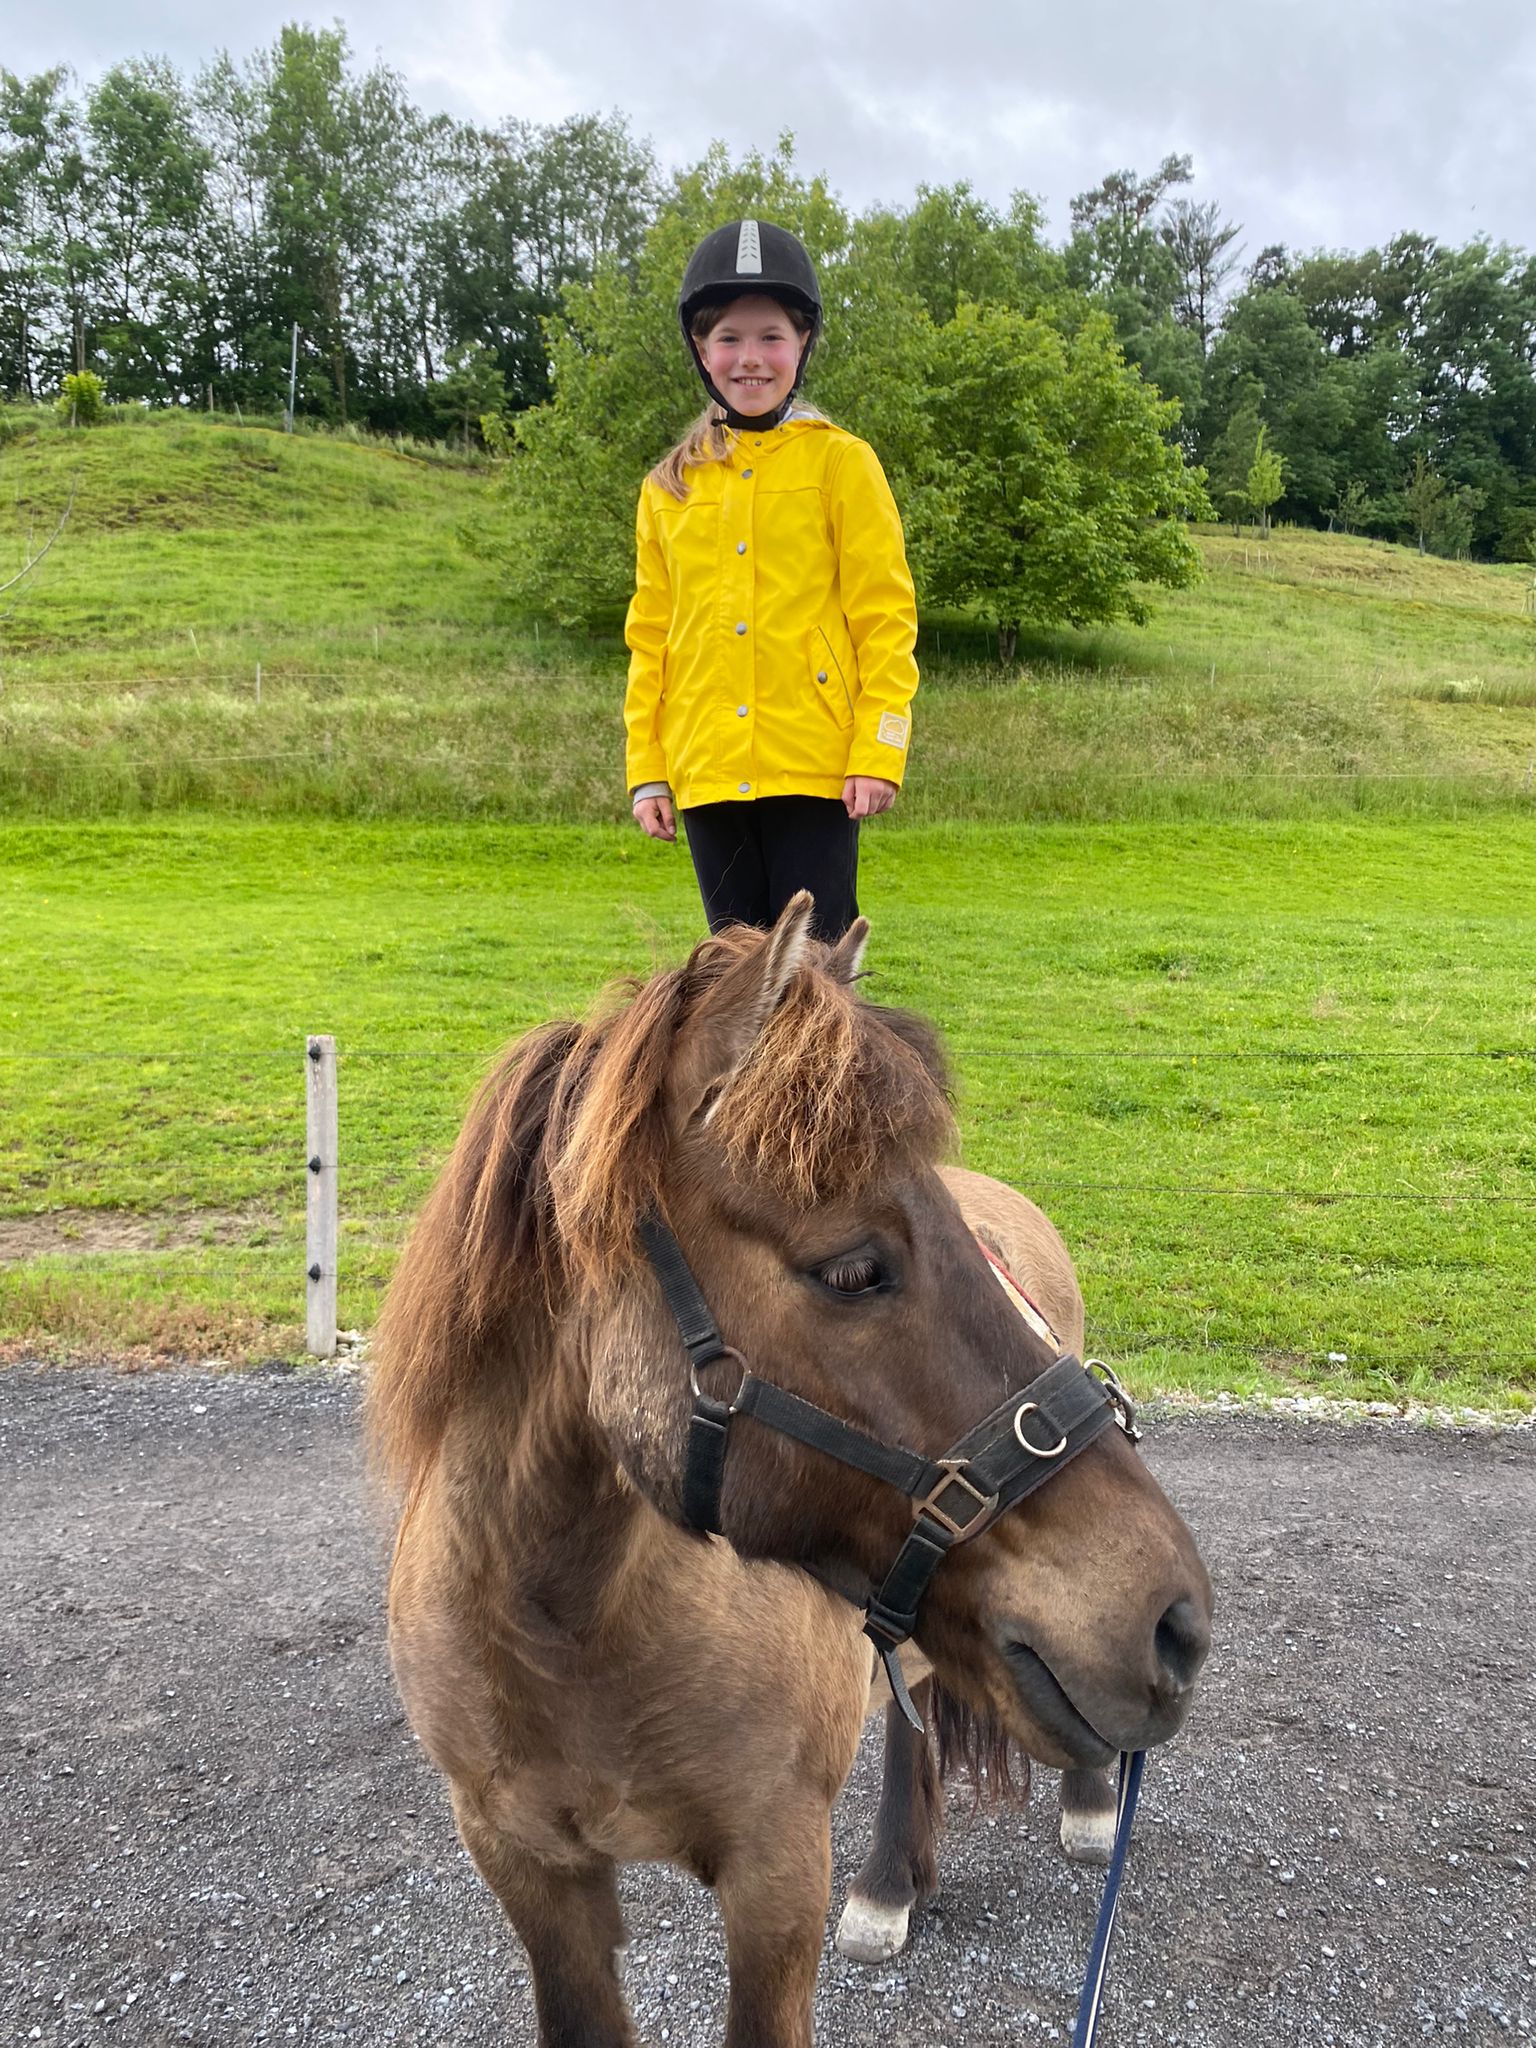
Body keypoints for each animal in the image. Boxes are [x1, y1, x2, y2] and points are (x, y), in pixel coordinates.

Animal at [368, 897, 1212, 2048]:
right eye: (851, 1268)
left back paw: (1075, 1806)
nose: (1174, 1618)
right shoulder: (530, 1871)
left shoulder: (776, 1877)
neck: (567, 1632)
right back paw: (895, 1883)